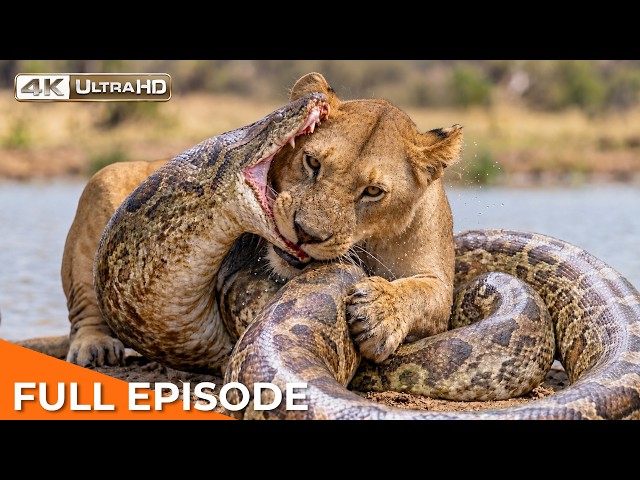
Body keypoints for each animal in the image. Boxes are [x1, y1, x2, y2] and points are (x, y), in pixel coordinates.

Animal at [49, 72, 463, 368]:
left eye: (373, 191)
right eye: (312, 162)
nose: (305, 233)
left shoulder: (440, 283)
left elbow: (423, 292)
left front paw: (379, 313)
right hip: (104, 179)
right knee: (85, 308)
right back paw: (96, 347)